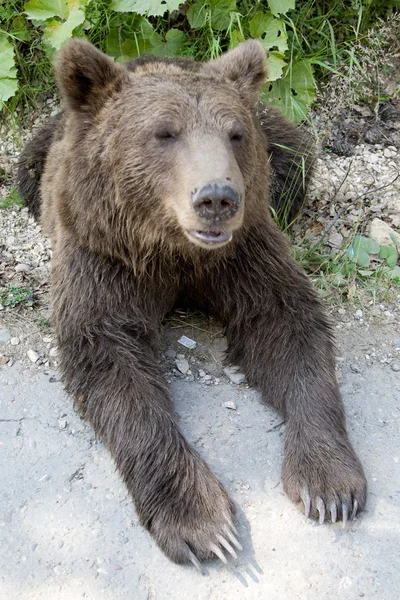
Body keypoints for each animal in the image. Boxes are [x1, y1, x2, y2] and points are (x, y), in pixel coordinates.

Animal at [16, 38, 366, 568]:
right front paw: (203, 523)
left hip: (277, 145)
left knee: (295, 160)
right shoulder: (104, 259)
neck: (173, 249)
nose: (217, 198)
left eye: (234, 134)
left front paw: (329, 485)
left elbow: (288, 324)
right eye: (165, 132)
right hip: (38, 162)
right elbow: (112, 363)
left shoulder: (241, 254)